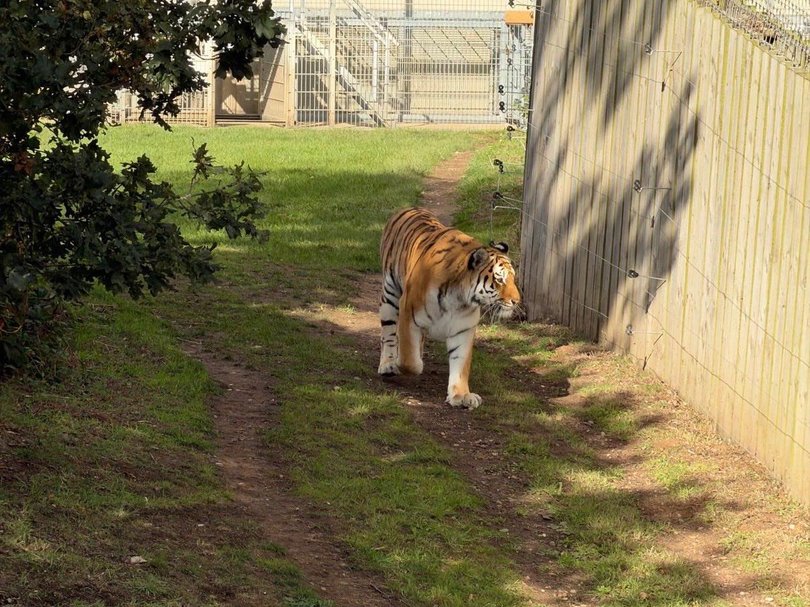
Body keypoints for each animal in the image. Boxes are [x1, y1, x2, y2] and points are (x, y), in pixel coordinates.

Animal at [378, 207, 521, 409]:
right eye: (500, 279)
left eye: (513, 278)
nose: (517, 301)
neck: (459, 297)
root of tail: (409, 208)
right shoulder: (408, 314)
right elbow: (410, 361)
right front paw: (402, 364)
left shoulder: (463, 329)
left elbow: (460, 364)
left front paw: (461, 395)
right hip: (390, 296)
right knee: (388, 333)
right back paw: (388, 364)